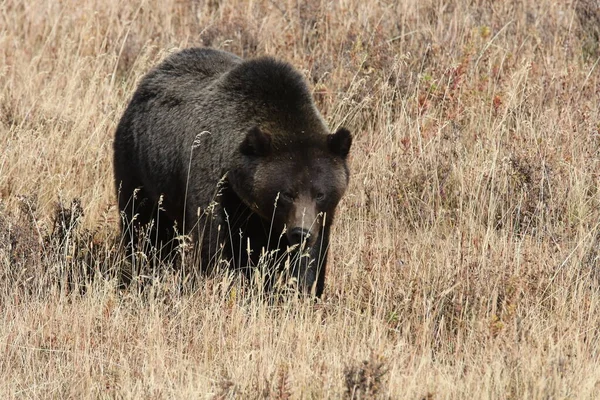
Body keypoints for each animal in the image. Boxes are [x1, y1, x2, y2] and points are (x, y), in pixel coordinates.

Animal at [112, 47, 352, 296]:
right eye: (286, 193)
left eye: (320, 193)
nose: (301, 233)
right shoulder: (215, 184)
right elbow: (214, 241)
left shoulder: (317, 215)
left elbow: (310, 255)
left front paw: (301, 288)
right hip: (139, 166)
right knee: (145, 226)